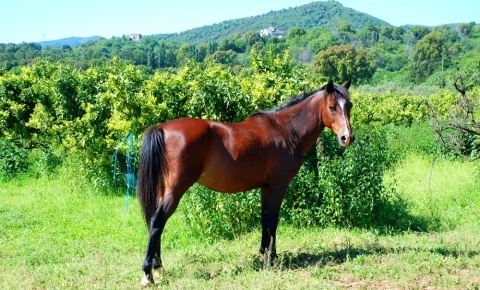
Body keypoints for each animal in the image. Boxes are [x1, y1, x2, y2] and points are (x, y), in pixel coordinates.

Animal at [137, 79, 354, 286]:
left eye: (349, 105)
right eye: (332, 107)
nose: (347, 138)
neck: (286, 129)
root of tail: (162, 128)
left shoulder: (266, 188)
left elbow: (265, 219)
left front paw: (264, 255)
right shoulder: (278, 186)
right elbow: (273, 220)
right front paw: (272, 258)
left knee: (154, 223)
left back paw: (158, 267)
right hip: (175, 190)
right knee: (157, 222)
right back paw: (148, 274)